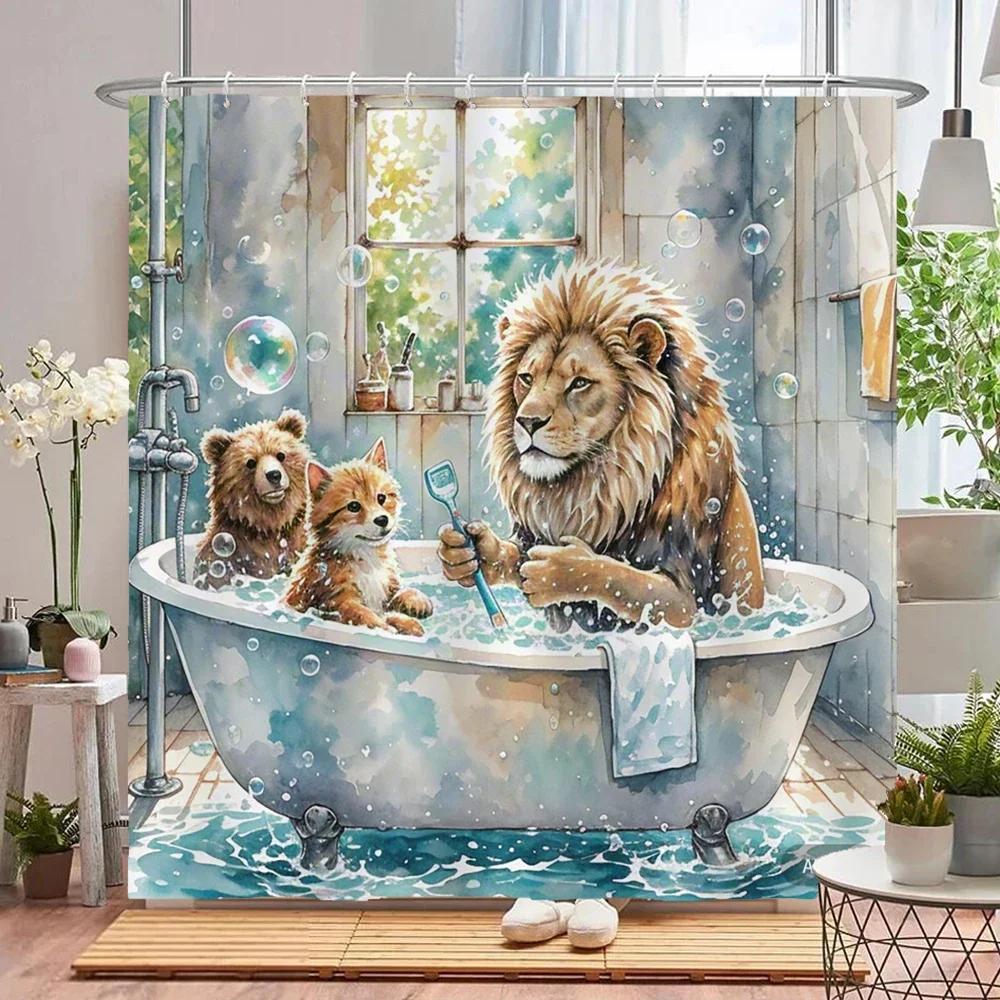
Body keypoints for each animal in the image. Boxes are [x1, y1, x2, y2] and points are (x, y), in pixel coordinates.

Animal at [437, 258, 765, 631]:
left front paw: (560, 569)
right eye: (526, 378)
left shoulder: (686, 596)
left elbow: (621, 578)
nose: (528, 421)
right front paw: (471, 550)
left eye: (580, 383)